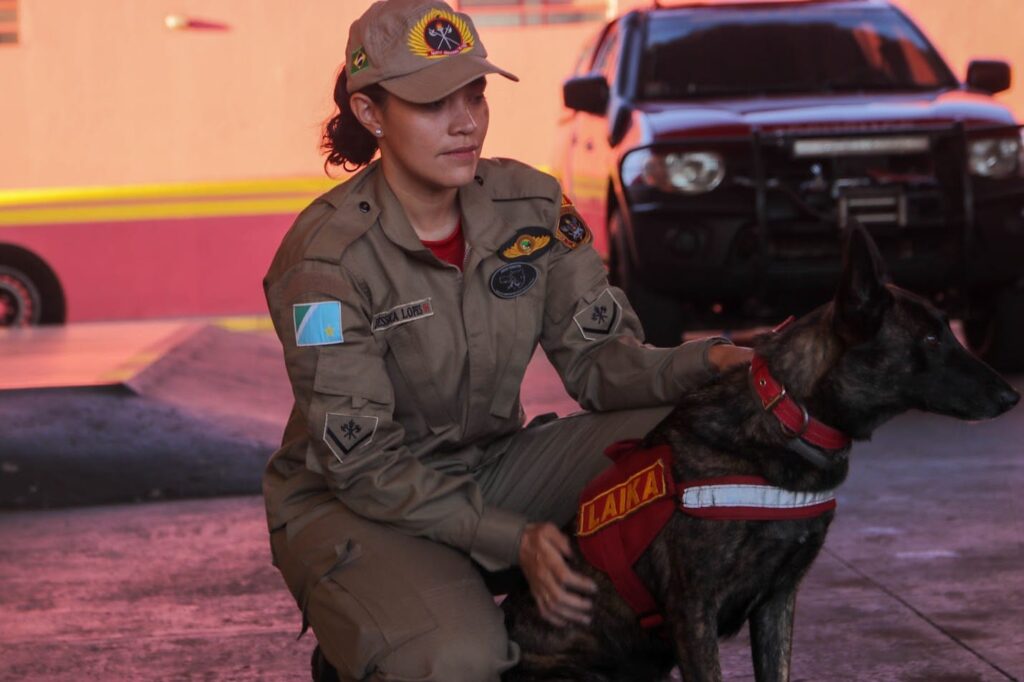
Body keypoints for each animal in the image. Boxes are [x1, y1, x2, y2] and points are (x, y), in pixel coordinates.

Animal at [499, 224, 1019, 679]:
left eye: (947, 332)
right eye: (930, 339)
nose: (1012, 397)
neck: (790, 416)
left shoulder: (777, 600)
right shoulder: (694, 610)